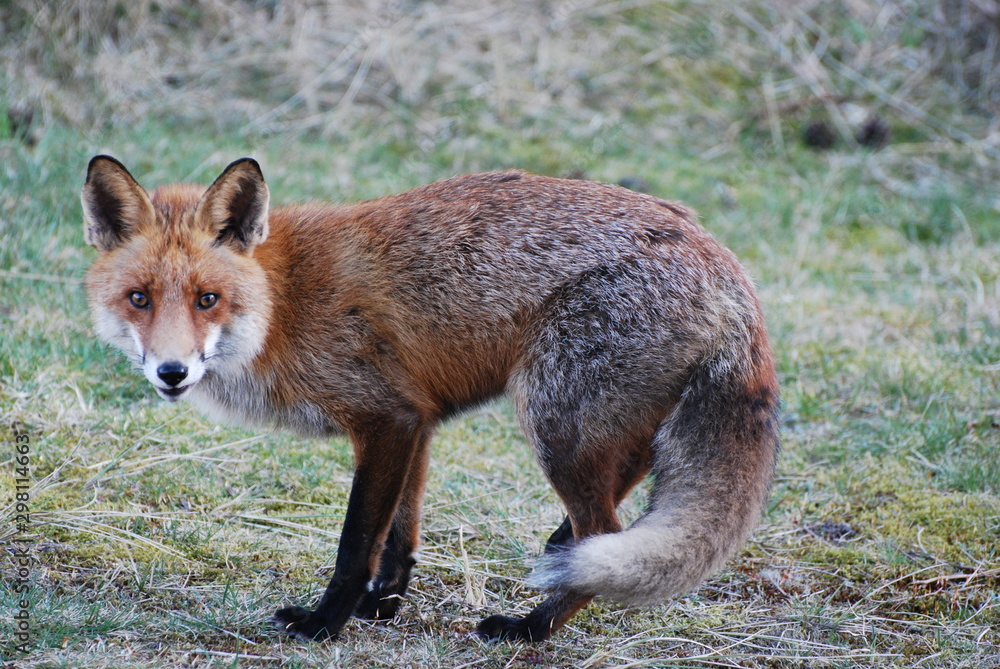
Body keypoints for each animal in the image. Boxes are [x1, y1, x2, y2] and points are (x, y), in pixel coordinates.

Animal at [81, 154, 780, 643]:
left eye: (208, 299)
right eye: (139, 299)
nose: (172, 372)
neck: (282, 305)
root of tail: (723, 260)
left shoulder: (385, 418)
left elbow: (356, 542)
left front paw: (325, 625)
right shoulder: (416, 420)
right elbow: (400, 537)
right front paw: (382, 608)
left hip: (553, 422)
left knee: (604, 527)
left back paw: (531, 629)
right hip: (594, 427)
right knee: (617, 507)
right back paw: (559, 560)